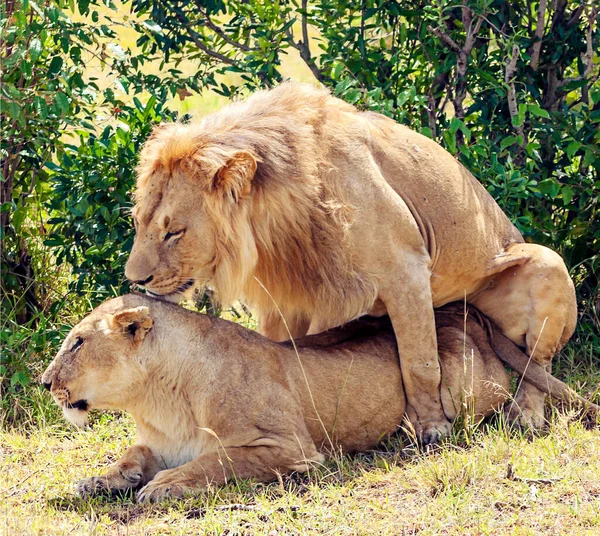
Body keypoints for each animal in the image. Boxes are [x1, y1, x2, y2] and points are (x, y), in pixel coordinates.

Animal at [42, 294, 596, 502]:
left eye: (78, 342)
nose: (45, 383)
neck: (157, 397)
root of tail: (459, 311)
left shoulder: (289, 447)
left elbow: (216, 462)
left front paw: (163, 486)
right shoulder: (157, 442)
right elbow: (130, 456)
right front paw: (98, 479)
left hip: (462, 385)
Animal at [125, 80, 576, 440]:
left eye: (173, 232)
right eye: (138, 221)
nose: (136, 280)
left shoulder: (406, 271)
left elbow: (420, 362)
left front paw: (431, 427)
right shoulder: (286, 298)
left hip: (547, 263)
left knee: (539, 362)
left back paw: (526, 415)